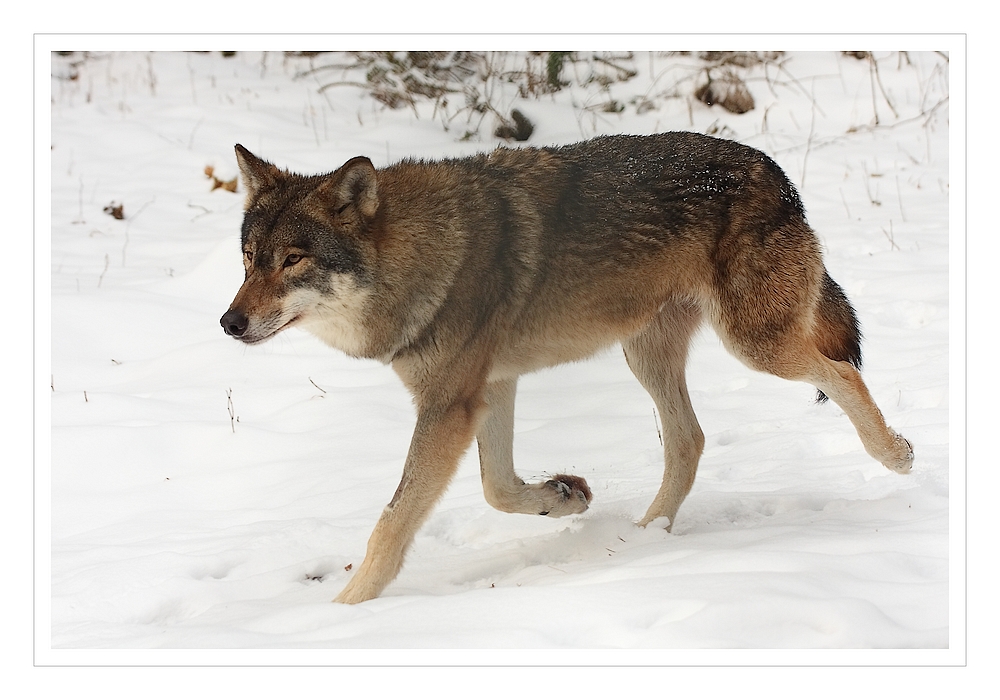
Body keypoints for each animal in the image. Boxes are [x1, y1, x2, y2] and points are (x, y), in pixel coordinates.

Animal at [221, 134, 916, 604]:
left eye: (293, 260)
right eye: (250, 259)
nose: (228, 322)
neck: (420, 256)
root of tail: (775, 172)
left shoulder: (449, 406)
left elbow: (392, 523)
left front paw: (345, 612)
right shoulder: (490, 389)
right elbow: (497, 488)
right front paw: (565, 497)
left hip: (754, 344)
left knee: (841, 373)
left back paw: (897, 455)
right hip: (647, 354)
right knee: (688, 441)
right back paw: (642, 540)